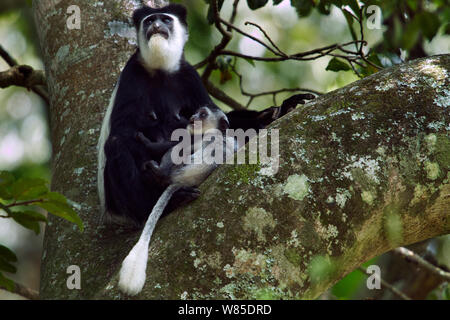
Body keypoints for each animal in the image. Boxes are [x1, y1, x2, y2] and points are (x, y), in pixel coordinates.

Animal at [96, 2, 312, 226]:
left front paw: (281, 109)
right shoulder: (132, 74)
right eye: (149, 21)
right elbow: (125, 129)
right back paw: (162, 202)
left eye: (165, 19)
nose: (155, 26)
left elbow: (221, 117)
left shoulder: (188, 75)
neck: (160, 69)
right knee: (117, 143)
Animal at [118, 105, 234, 296]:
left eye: (203, 114)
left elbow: (169, 146)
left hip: (180, 166)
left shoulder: (197, 139)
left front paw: (143, 139)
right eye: (196, 112)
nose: (192, 117)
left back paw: (156, 171)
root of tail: (182, 180)